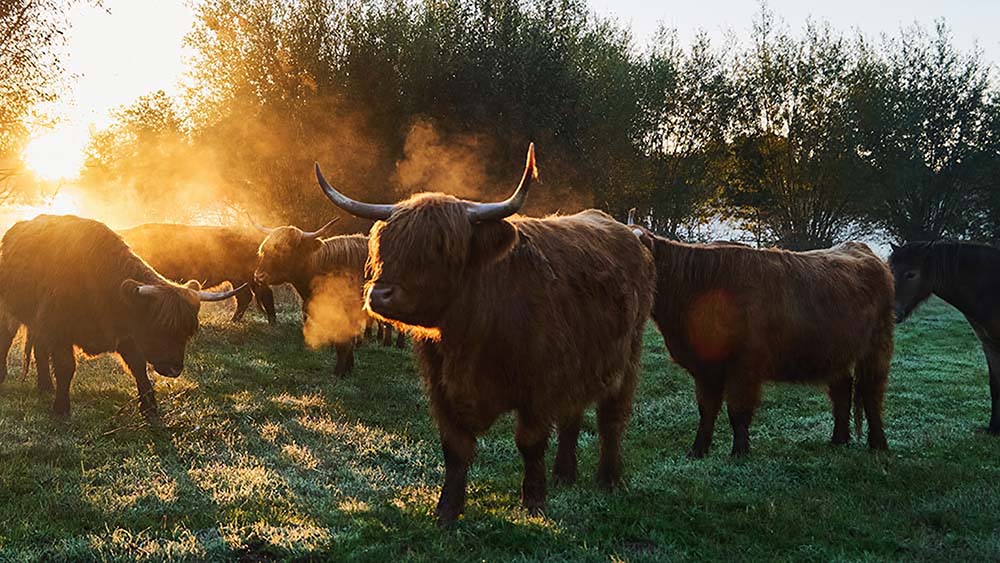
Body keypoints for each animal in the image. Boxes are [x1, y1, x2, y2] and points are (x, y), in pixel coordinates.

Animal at [0, 216, 242, 418]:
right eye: (159, 328)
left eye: (186, 332)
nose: (174, 370)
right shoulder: (59, 330)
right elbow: (66, 367)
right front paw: (61, 408)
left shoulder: (126, 335)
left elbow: (138, 367)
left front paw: (150, 408)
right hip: (10, 311)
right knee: (8, 341)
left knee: (39, 349)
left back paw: (45, 386)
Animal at [119, 223, 280, 324]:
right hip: (239, 279)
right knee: (245, 297)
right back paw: (234, 321)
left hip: (251, 277)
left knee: (264, 294)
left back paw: (271, 322)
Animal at [314, 144, 656, 524]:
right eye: (384, 244)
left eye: (440, 247)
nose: (379, 295)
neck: (471, 333)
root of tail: (627, 233)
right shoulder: (443, 388)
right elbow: (455, 448)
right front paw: (447, 511)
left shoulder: (539, 386)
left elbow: (530, 443)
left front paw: (533, 501)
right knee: (573, 415)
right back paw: (564, 474)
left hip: (626, 359)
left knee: (611, 419)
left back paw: (608, 478)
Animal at [628, 225, 896, 458]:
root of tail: (861, 249)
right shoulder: (706, 369)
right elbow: (706, 410)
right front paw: (697, 450)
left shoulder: (745, 365)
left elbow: (737, 411)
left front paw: (739, 452)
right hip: (834, 351)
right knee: (842, 389)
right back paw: (839, 440)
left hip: (877, 347)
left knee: (871, 393)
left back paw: (878, 444)